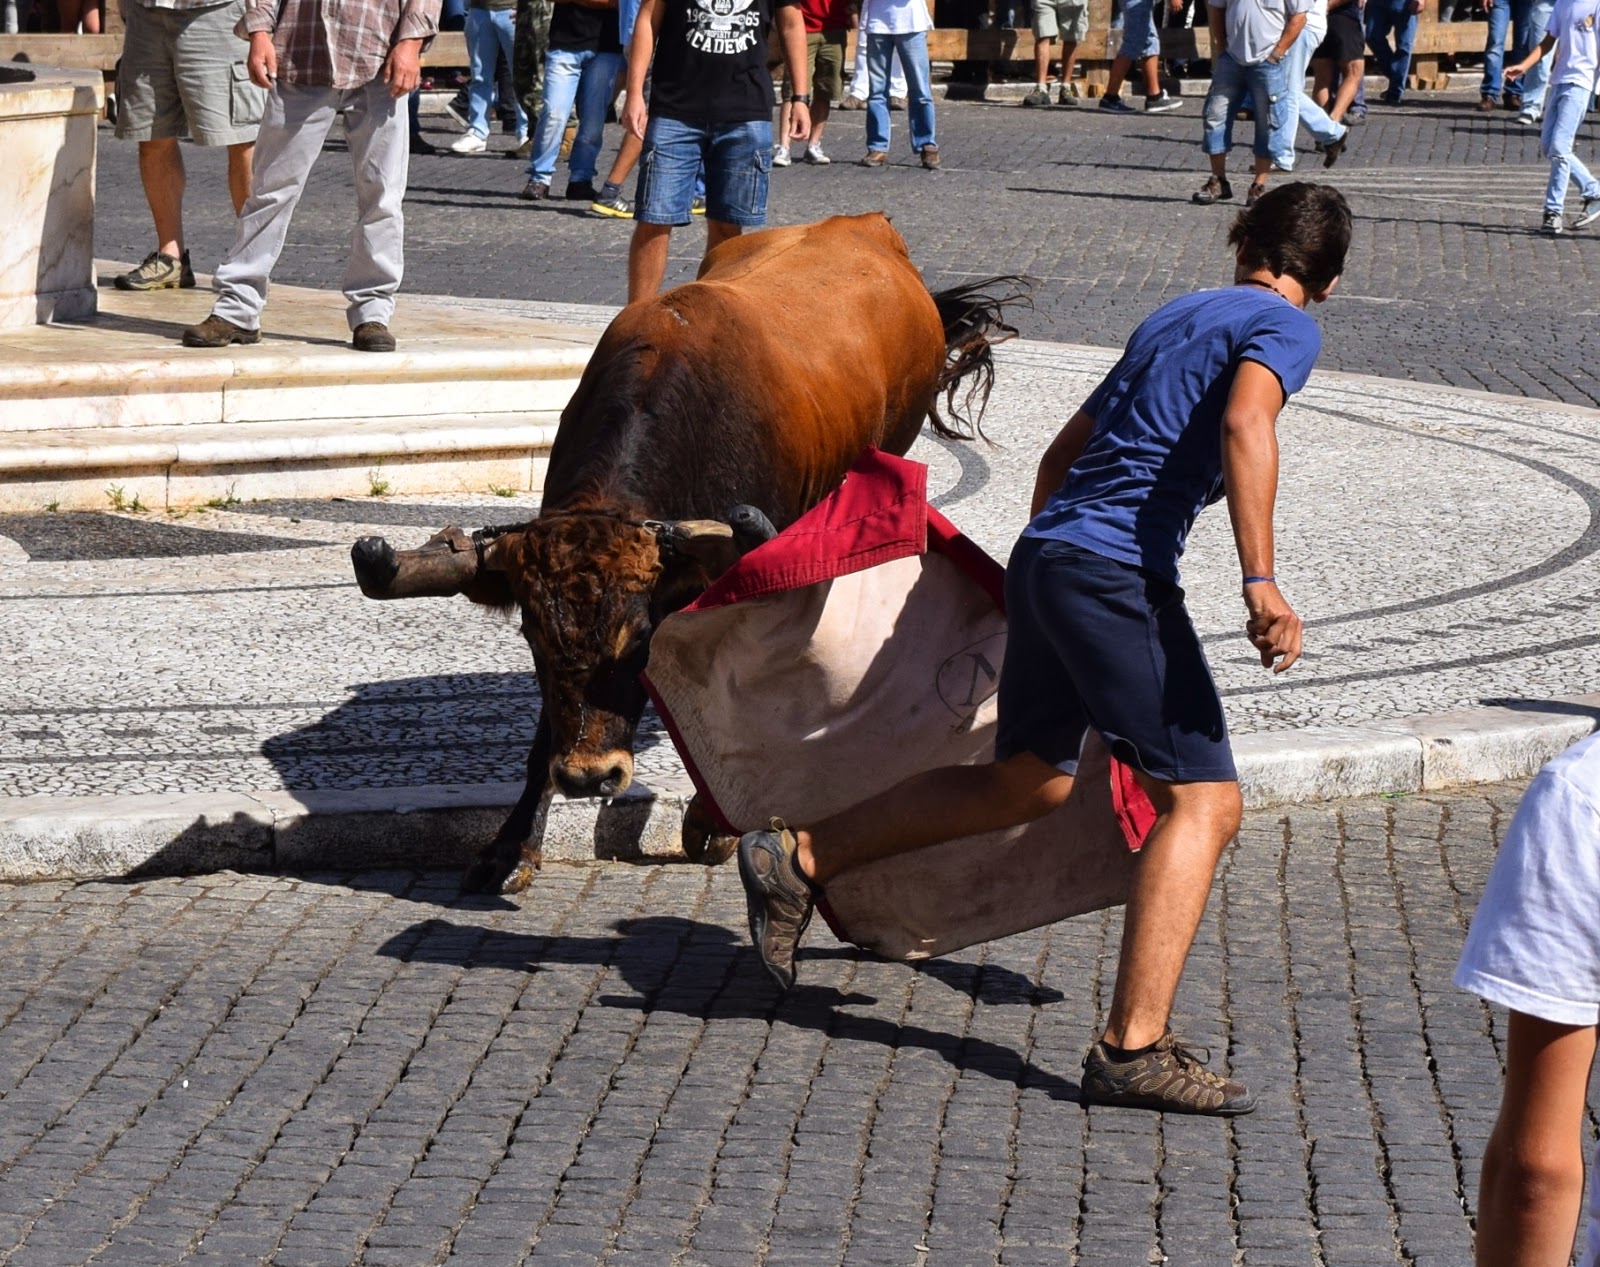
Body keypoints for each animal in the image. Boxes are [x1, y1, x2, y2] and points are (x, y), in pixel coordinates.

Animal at [351, 213, 1020, 895]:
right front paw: (512, 847)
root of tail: (865, 226)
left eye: (638, 640)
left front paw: (713, 818)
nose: (590, 777)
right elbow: (546, 732)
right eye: (534, 641)